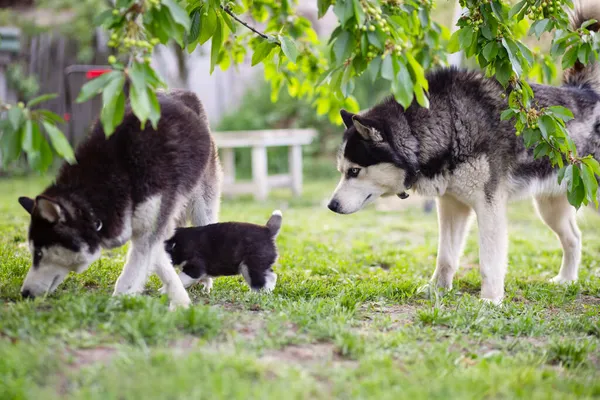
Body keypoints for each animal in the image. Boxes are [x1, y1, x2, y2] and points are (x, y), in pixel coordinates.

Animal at [18, 90, 223, 310]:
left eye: (38, 253)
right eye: (32, 253)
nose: (24, 293)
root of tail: (181, 93)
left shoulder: (148, 229)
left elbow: (131, 276)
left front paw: (117, 303)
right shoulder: (146, 228)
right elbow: (158, 259)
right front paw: (179, 298)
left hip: (201, 208)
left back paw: (205, 281)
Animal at [328, 0, 600, 306]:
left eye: (354, 171)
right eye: (341, 171)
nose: (331, 206)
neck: (448, 122)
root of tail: (587, 92)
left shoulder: (489, 206)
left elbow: (489, 262)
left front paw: (490, 301)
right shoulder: (451, 205)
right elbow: (446, 257)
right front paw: (437, 289)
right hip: (550, 206)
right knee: (574, 238)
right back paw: (566, 280)